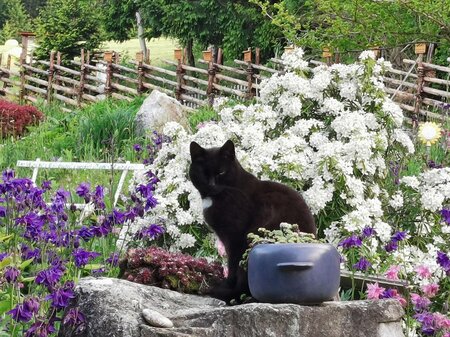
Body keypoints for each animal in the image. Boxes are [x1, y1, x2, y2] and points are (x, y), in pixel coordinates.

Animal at [188, 139, 314, 302]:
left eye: (221, 172)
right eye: (203, 173)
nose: (211, 185)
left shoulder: (235, 236)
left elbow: (232, 263)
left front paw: (225, 285)